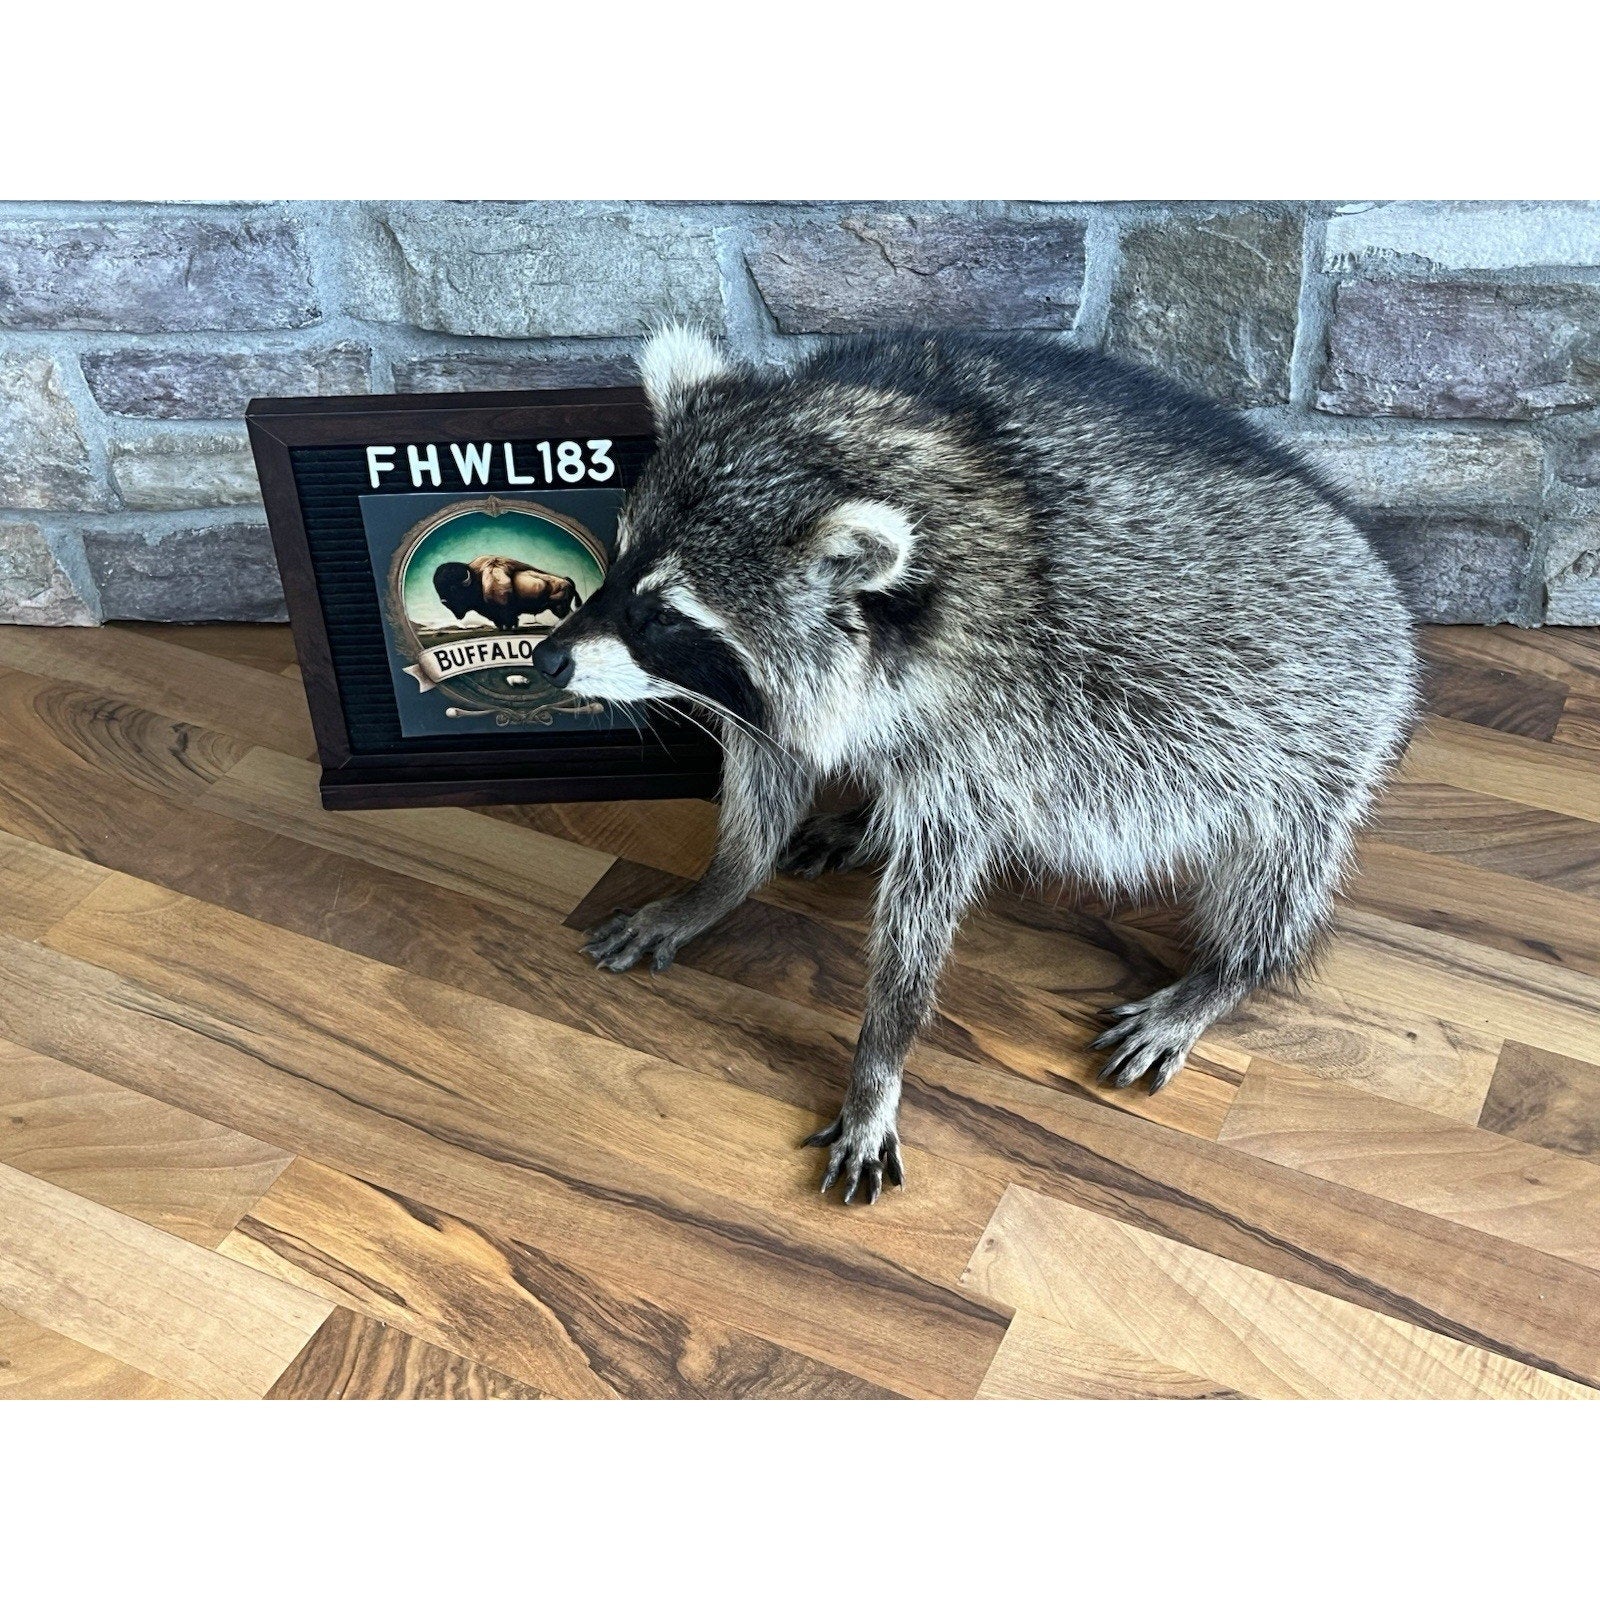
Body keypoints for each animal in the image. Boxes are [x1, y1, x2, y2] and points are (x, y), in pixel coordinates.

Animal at [532, 325, 1420, 1205]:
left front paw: (879, 1059)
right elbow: (770, 775)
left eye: (662, 614)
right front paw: (717, 886)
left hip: (1311, 732)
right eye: (615, 563)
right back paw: (867, 821)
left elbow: (927, 899)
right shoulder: (797, 688)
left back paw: (1232, 969)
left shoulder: (993, 725)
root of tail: (1382, 581)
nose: (544, 659)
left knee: (1276, 867)